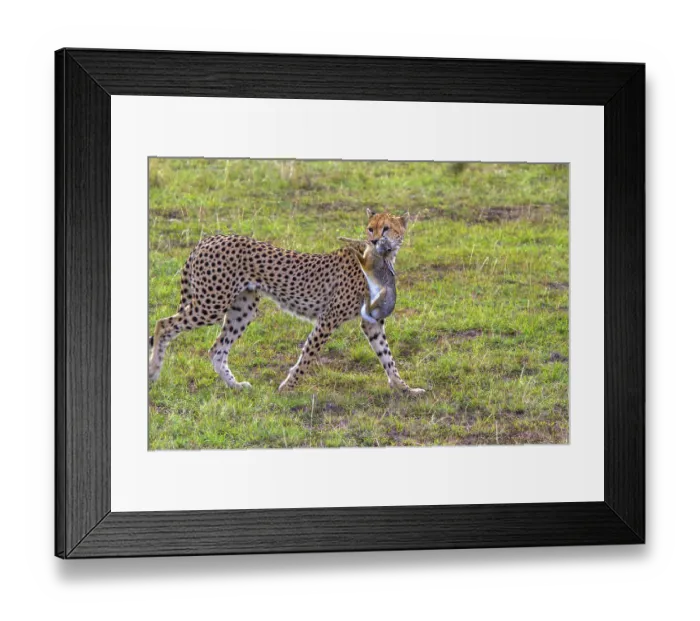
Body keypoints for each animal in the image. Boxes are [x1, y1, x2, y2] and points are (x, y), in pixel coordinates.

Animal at [148, 208, 425, 394]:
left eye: (386, 228)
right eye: (370, 228)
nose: (374, 240)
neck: (380, 260)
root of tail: (210, 238)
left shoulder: (372, 322)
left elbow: (387, 357)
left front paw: (405, 389)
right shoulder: (328, 318)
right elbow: (308, 355)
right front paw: (288, 387)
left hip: (243, 308)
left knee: (216, 349)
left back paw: (236, 386)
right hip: (212, 304)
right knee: (163, 324)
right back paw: (153, 372)